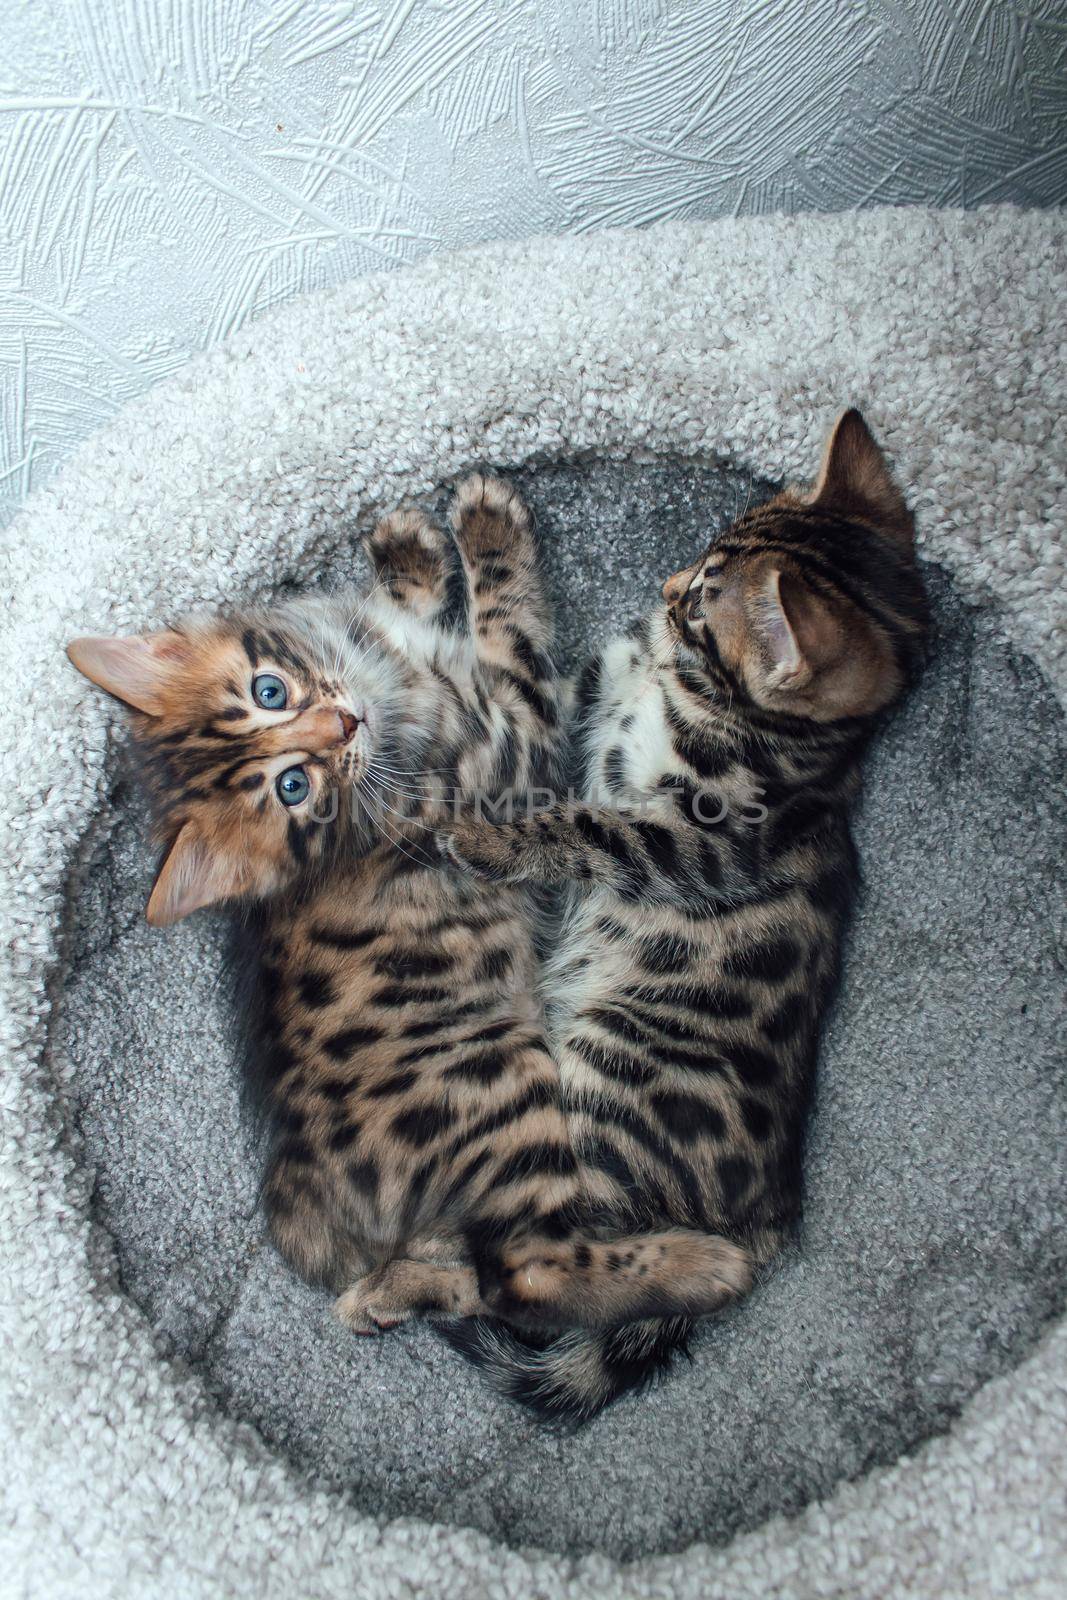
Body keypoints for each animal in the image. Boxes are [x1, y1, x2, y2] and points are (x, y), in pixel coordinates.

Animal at [441, 416, 927, 1427]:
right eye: (702, 560)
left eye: (703, 608)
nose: (664, 593)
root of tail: (767, 1223)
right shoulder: (583, 701)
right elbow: (516, 676)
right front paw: (485, 539)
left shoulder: (696, 845)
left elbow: (580, 821)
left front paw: (490, 839)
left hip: (607, 1079)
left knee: (529, 1275)